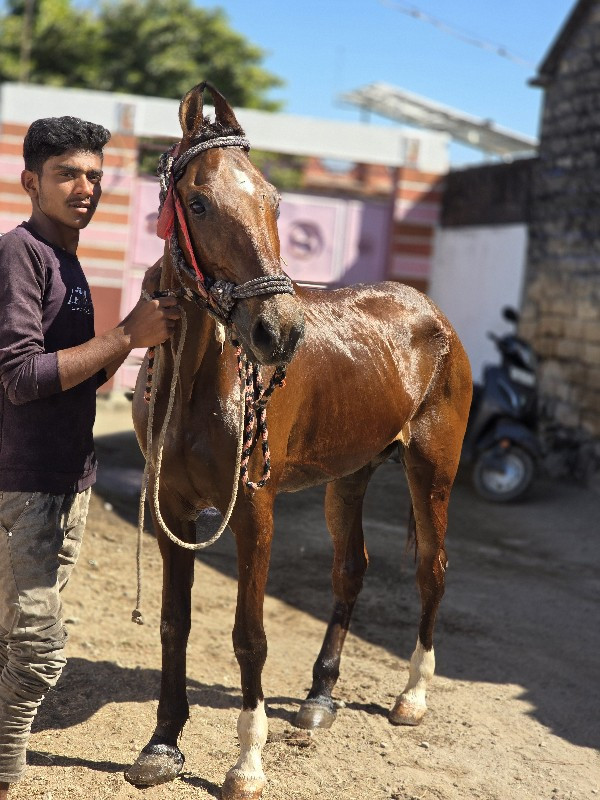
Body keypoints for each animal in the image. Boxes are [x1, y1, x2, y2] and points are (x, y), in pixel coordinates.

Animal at [126, 83, 474, 800]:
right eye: (198, 202)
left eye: (274, 201)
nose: (279, 331)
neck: (200, 383)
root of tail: (433, 316)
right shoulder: (172, 507)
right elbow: (176, 622)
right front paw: (163, 741)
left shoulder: (253, 511)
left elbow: (249, 635)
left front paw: (246, 762)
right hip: (350, 475)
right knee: (351, 569)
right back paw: (319, 697)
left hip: (433, 470)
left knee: (432, 569)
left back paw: (413, 696)